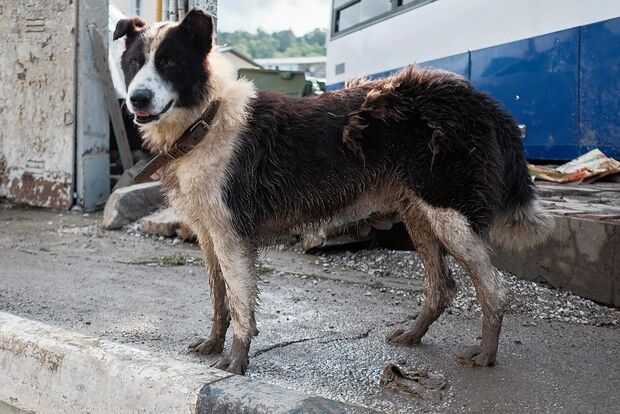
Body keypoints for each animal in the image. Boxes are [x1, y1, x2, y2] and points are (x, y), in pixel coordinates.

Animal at [115, 9, 552, 376]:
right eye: (134, 63)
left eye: (170, 62)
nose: (137, 99)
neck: (206, 119)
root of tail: (479, 100)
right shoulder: (208, 235)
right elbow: (219, 299)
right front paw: (212, 344)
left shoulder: (232, 235)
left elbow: (240, 304)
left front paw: (236, 361)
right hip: (418, 212)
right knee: (442, 286)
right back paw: (413, 335)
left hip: (448, 211)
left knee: (495, 288)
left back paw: (486, 354)